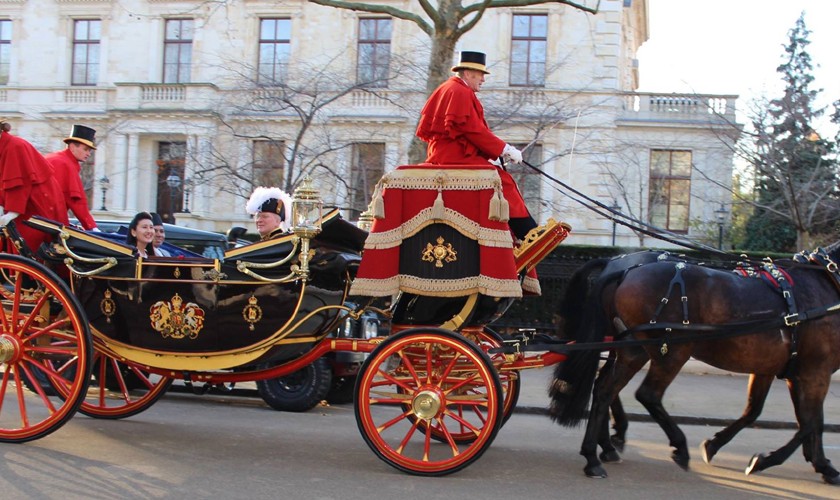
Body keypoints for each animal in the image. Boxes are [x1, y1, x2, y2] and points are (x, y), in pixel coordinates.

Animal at [552, 250, 840, 484]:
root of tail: (623, 269)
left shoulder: (782, 369)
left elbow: (765, 413)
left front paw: (822, 464)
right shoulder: (815, 372)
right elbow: (810, 422)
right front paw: (766, 460)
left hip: (633, 348)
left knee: (604, 389)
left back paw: (595, 455)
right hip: (672, 351)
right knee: (647, 394)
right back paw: (675, 446)